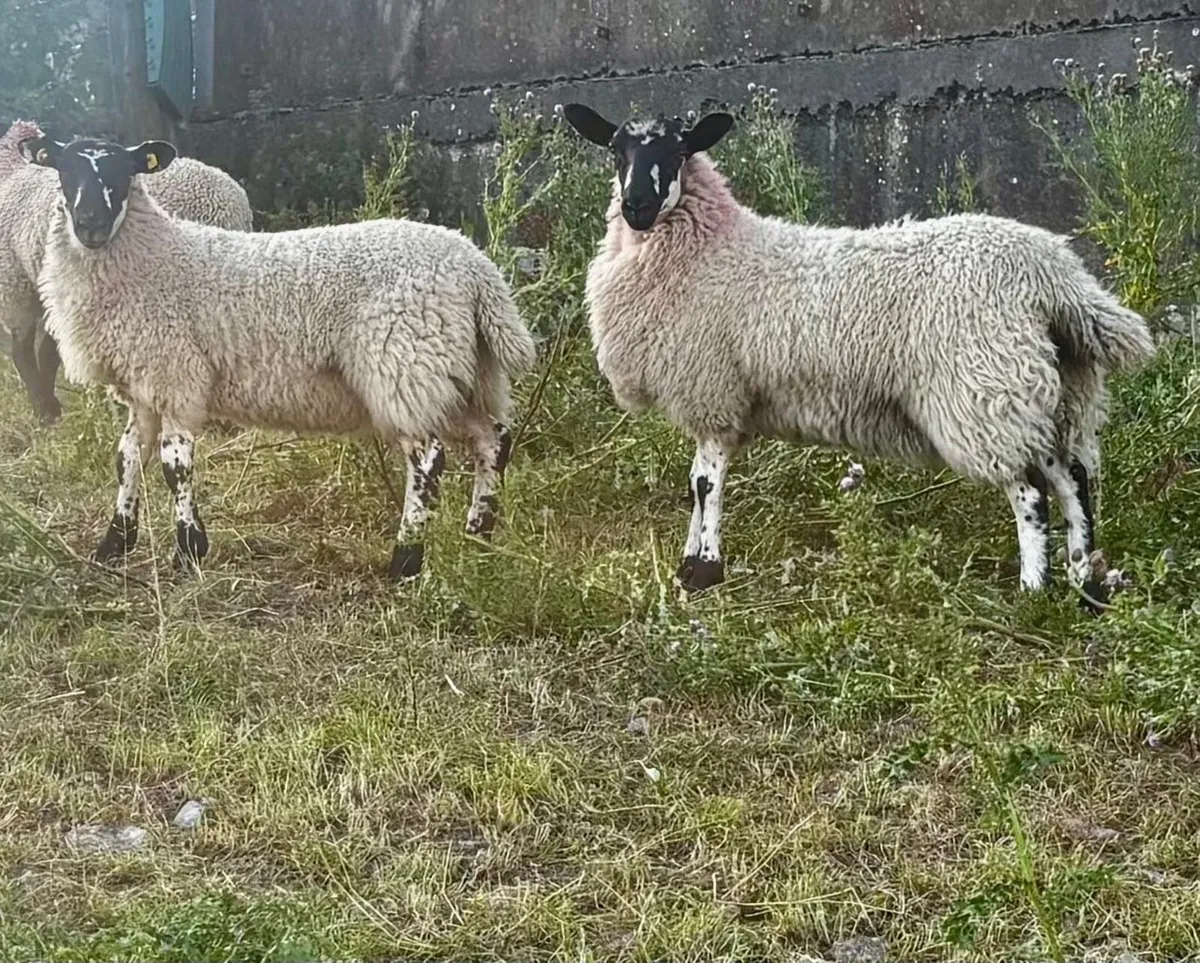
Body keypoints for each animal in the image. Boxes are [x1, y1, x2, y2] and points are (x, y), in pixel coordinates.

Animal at [0, 118, 253, 423]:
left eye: (124, 173)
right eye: (65, 170)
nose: (91, 224)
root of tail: (17, 170)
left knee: (46, 348)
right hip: (15, 284)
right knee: (22, 349)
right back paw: (44, 410)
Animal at [29, 134, 536, 578]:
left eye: (123, 171)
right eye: (64, 170)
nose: (90, 224)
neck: (153, 258)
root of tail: (478, 270)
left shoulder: (174, 375)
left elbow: (176, 466)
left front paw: (189, 551)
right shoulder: (142, 386)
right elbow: (128, 457)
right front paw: (114, 542)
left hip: (405, 366)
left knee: (429, 460)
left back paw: (406, 559)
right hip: (457, 373)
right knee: (493, 439)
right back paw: (479, 537)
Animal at [562, 103, 1157, 610]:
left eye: (680, 151)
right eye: (615, 149)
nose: (637, 208)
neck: (712, 248)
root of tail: (1052, 274)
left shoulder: (713, 392)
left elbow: (705, 484)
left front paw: (704, 570)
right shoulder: (721, 398)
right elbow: (695, 484)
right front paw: (690, 560)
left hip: (985, 392)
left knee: (1030, 490)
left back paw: (1033, 588)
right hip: (1043, 391)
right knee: (1073, 477)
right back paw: (1084, 580)